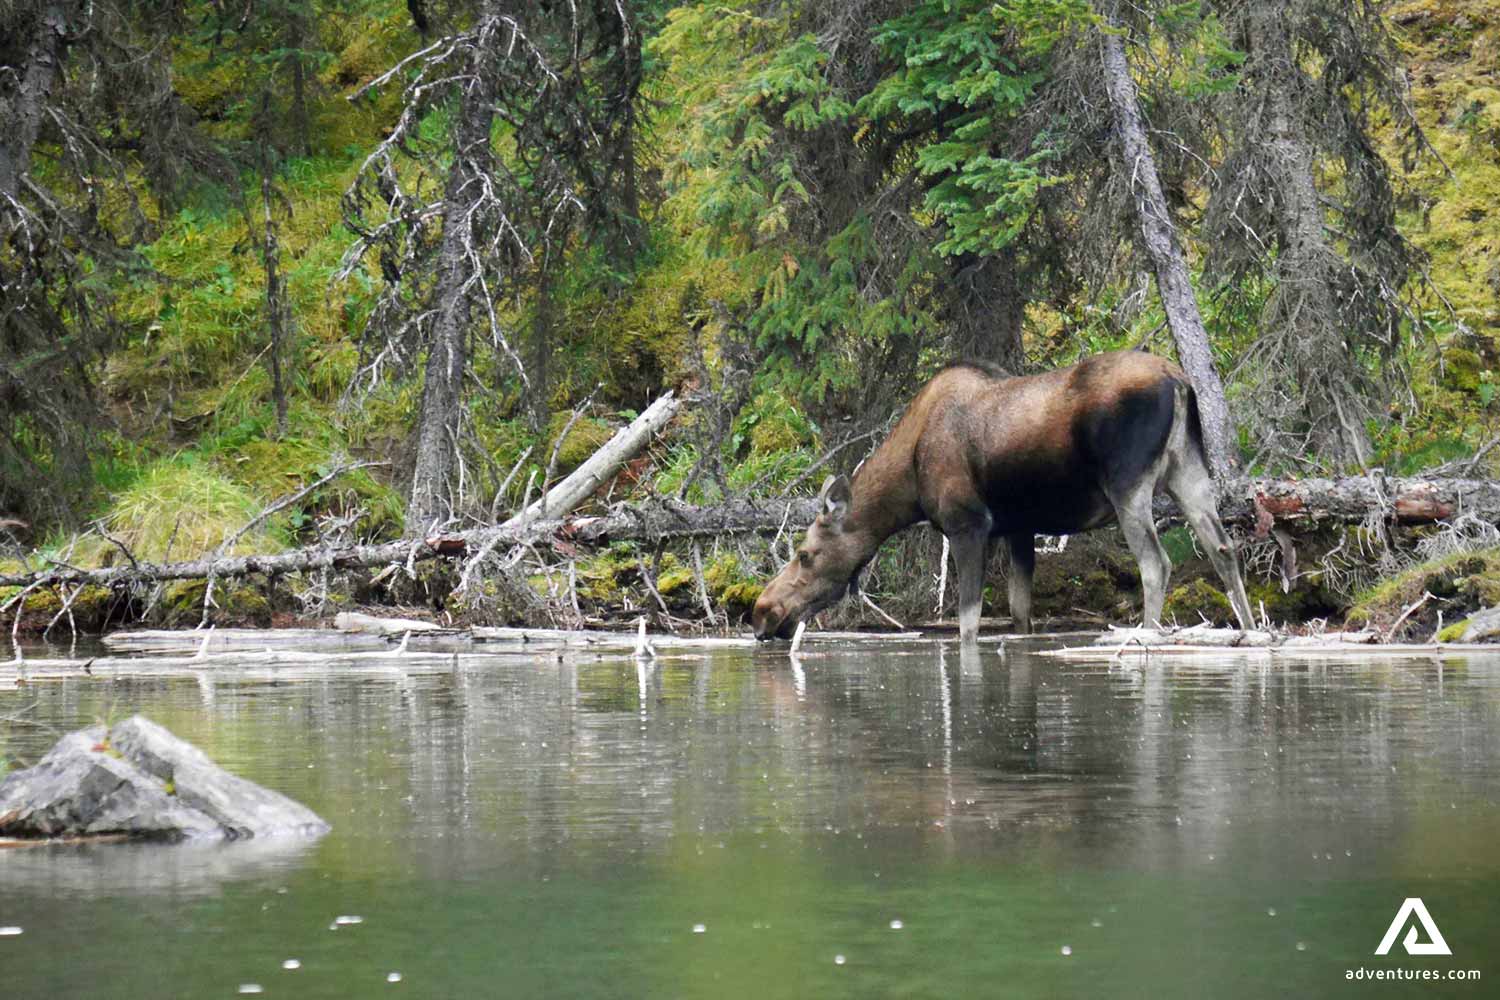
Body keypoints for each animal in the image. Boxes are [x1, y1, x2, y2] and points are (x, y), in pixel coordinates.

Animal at [751, 351, 1254, 643]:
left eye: (805, 554)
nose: (762, 612)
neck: (908, 485)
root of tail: (1179, 381)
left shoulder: (968, 526)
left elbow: (968, 623)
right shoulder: (1020, 529)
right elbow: (1019, 614)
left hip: (1128, 483)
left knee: (1156, 563)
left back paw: (1144, 639)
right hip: (1188, 471)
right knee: (1223, 548)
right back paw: (1251, 632)